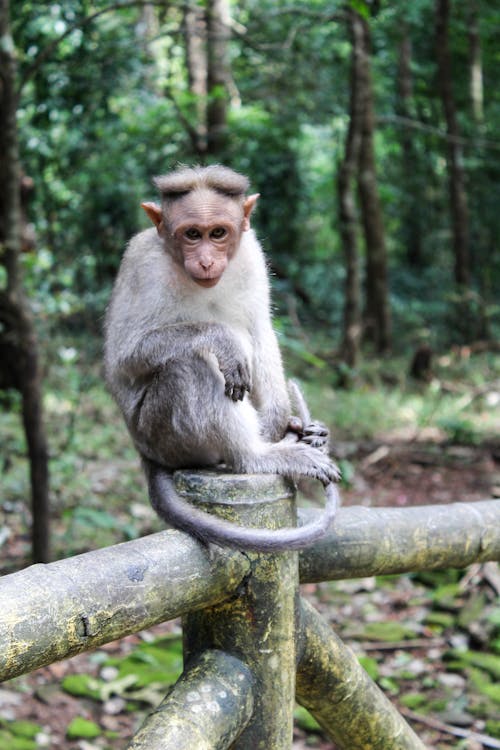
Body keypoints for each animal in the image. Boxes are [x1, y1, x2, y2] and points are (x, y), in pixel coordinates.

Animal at [105, 166, 340, 552]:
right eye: (191, 234)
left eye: (217, 233)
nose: (205, 260)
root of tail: (146, 454)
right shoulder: (143, 266)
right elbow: (123, 358)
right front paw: (222, 339)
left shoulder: (252, 253)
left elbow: (259, 329)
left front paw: (279, 417)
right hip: (162, 436)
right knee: (191, 367)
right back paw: (257, 456)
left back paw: (295, 431)